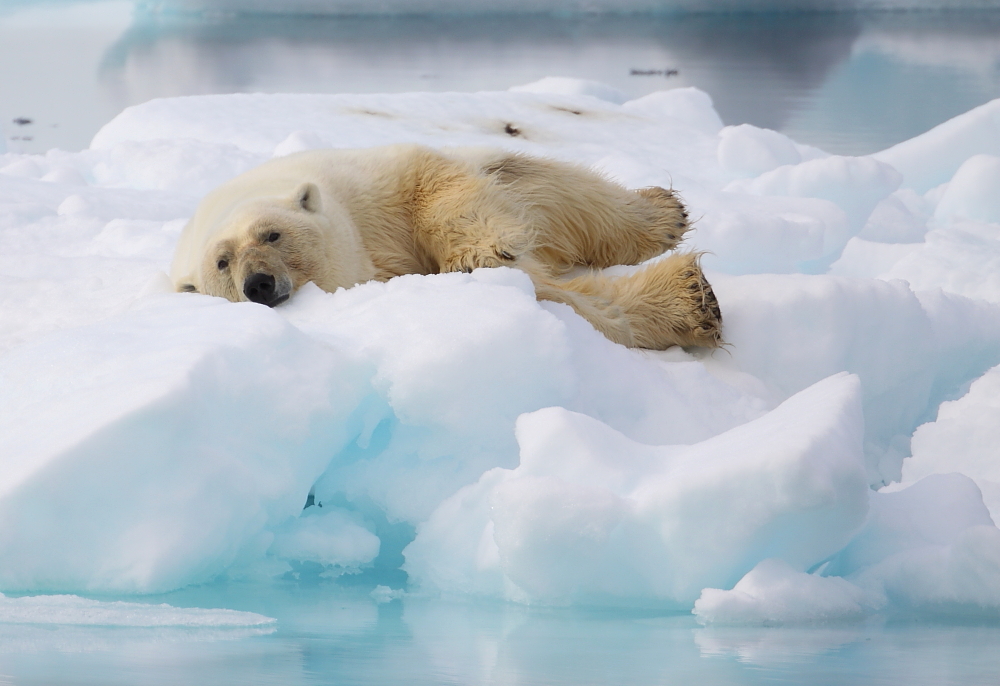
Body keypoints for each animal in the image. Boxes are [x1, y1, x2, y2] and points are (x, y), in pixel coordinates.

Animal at [170, 144, 720, 350]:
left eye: (271, 234)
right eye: (222, 262)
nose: (258, 284)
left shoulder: (372, 189)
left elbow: (431, 185)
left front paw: (485, 248)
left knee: (546, 184)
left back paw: (663, 215)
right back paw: (692, 299)